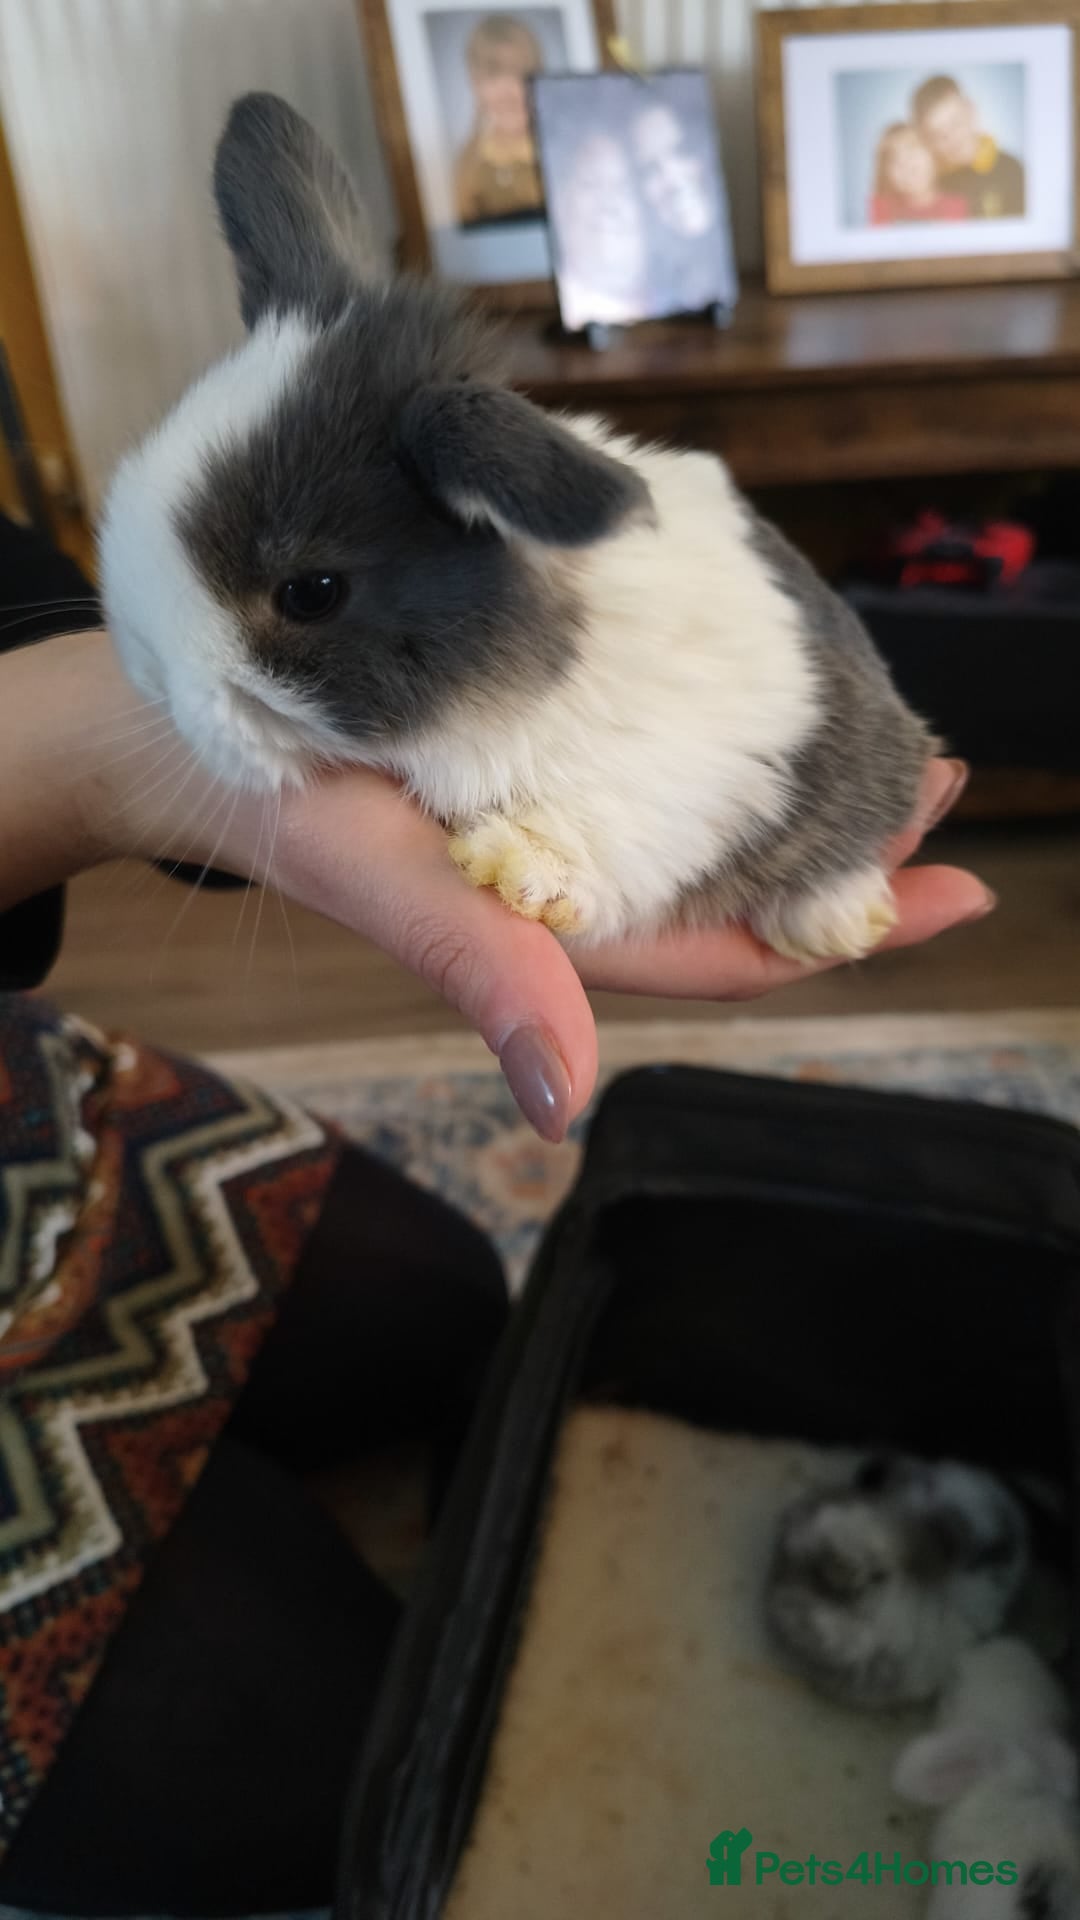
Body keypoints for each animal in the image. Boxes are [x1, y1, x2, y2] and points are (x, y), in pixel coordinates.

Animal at [99, 92, 935, 962]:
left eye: (311, 593)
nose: (152, 679)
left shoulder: (699, 768)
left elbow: (614, 823)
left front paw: (512, 865)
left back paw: (836, 922)